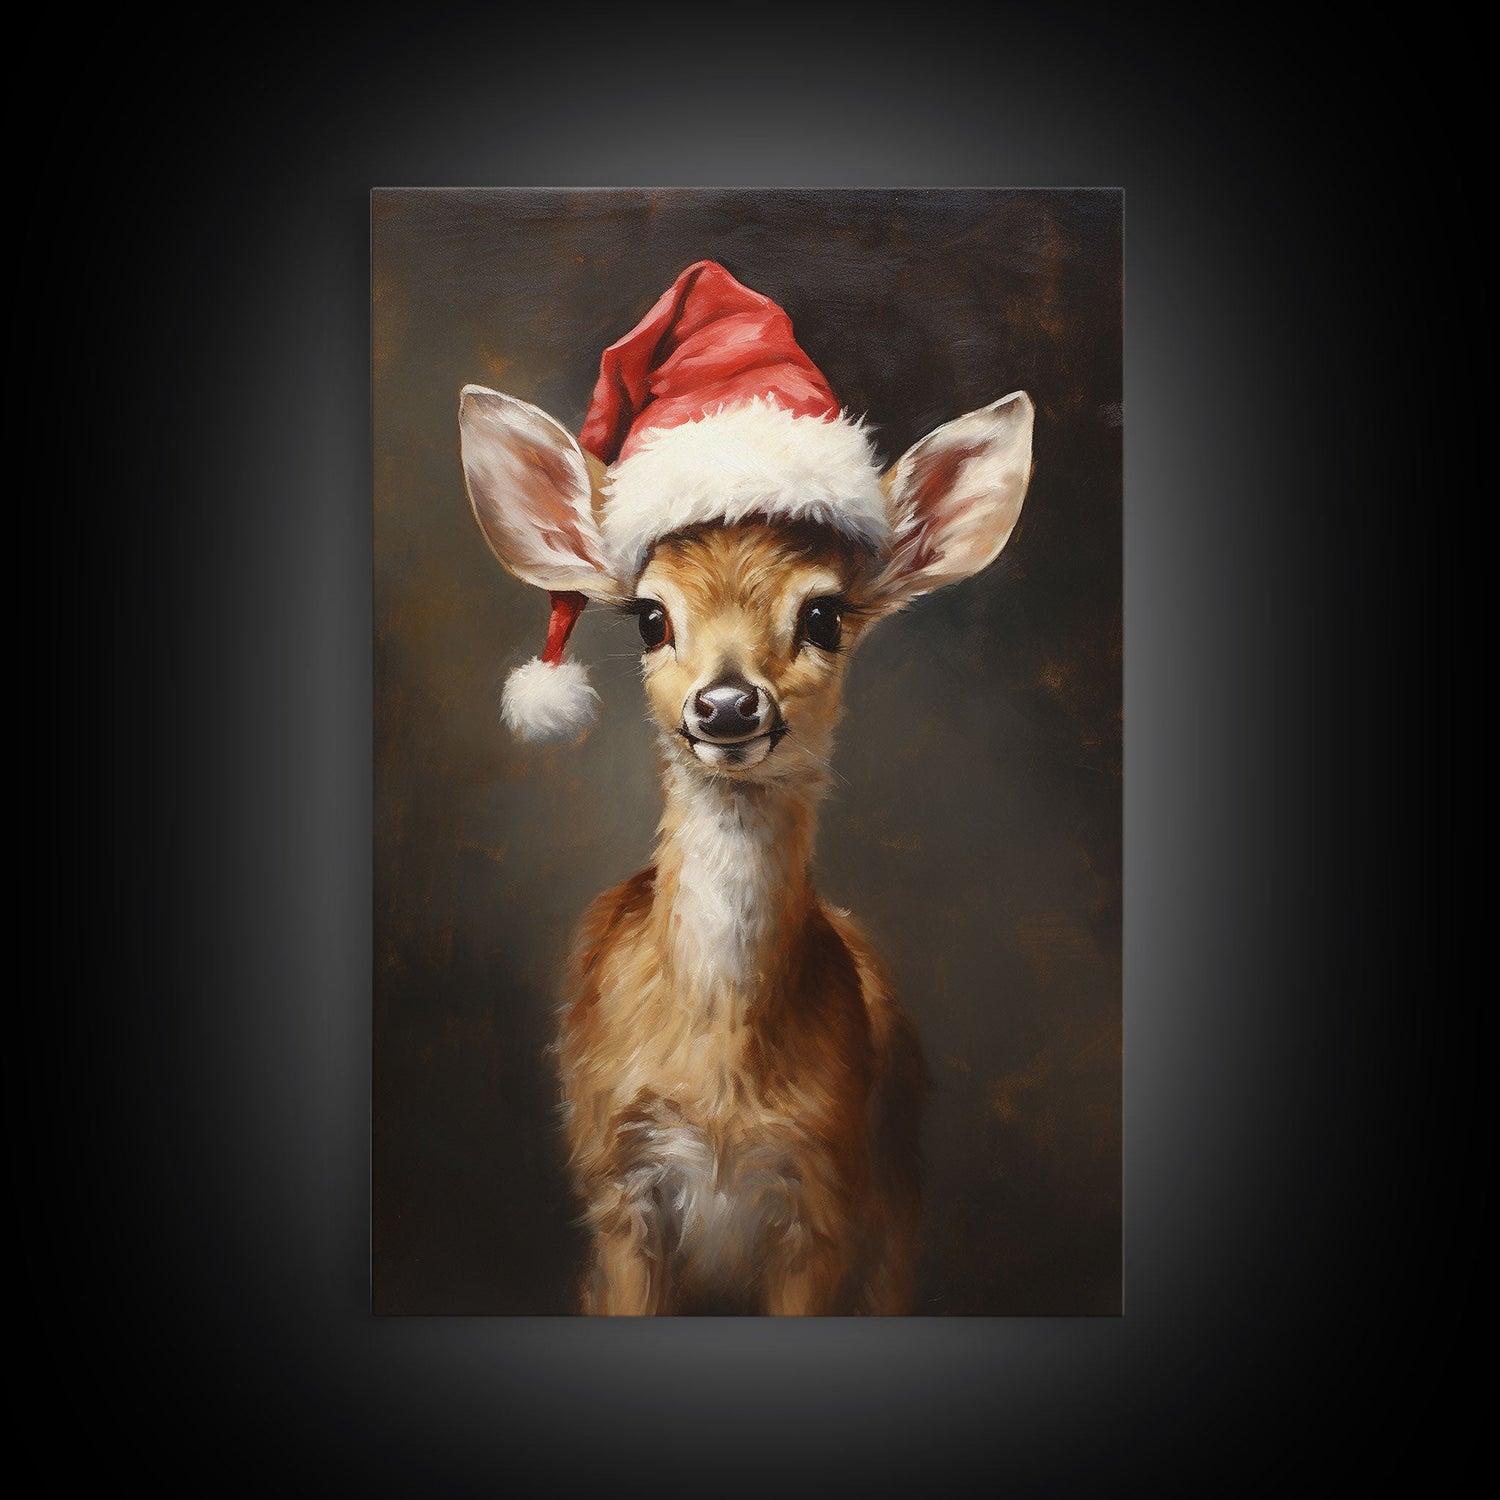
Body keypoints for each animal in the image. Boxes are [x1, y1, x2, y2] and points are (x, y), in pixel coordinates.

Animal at [458, 261, 1034, 1314]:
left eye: (826, 614)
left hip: (899, 1191)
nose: (727, 705)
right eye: (650, 616)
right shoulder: (615, 1187)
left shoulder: (823, 1194)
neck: (721, 1082)